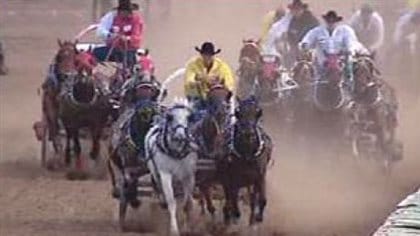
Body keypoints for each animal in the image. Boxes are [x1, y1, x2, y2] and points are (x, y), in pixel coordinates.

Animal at [144, 97, 199, 236]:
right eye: (170, 117)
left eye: (189, 117)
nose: (180, 136)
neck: (176, 153)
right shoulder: (165, 175)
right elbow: (171, 202)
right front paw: (174, 229)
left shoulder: (189, 175)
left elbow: (187, 202)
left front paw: (187, 228)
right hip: (155, 173)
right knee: (160, 189)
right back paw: (161, 200)